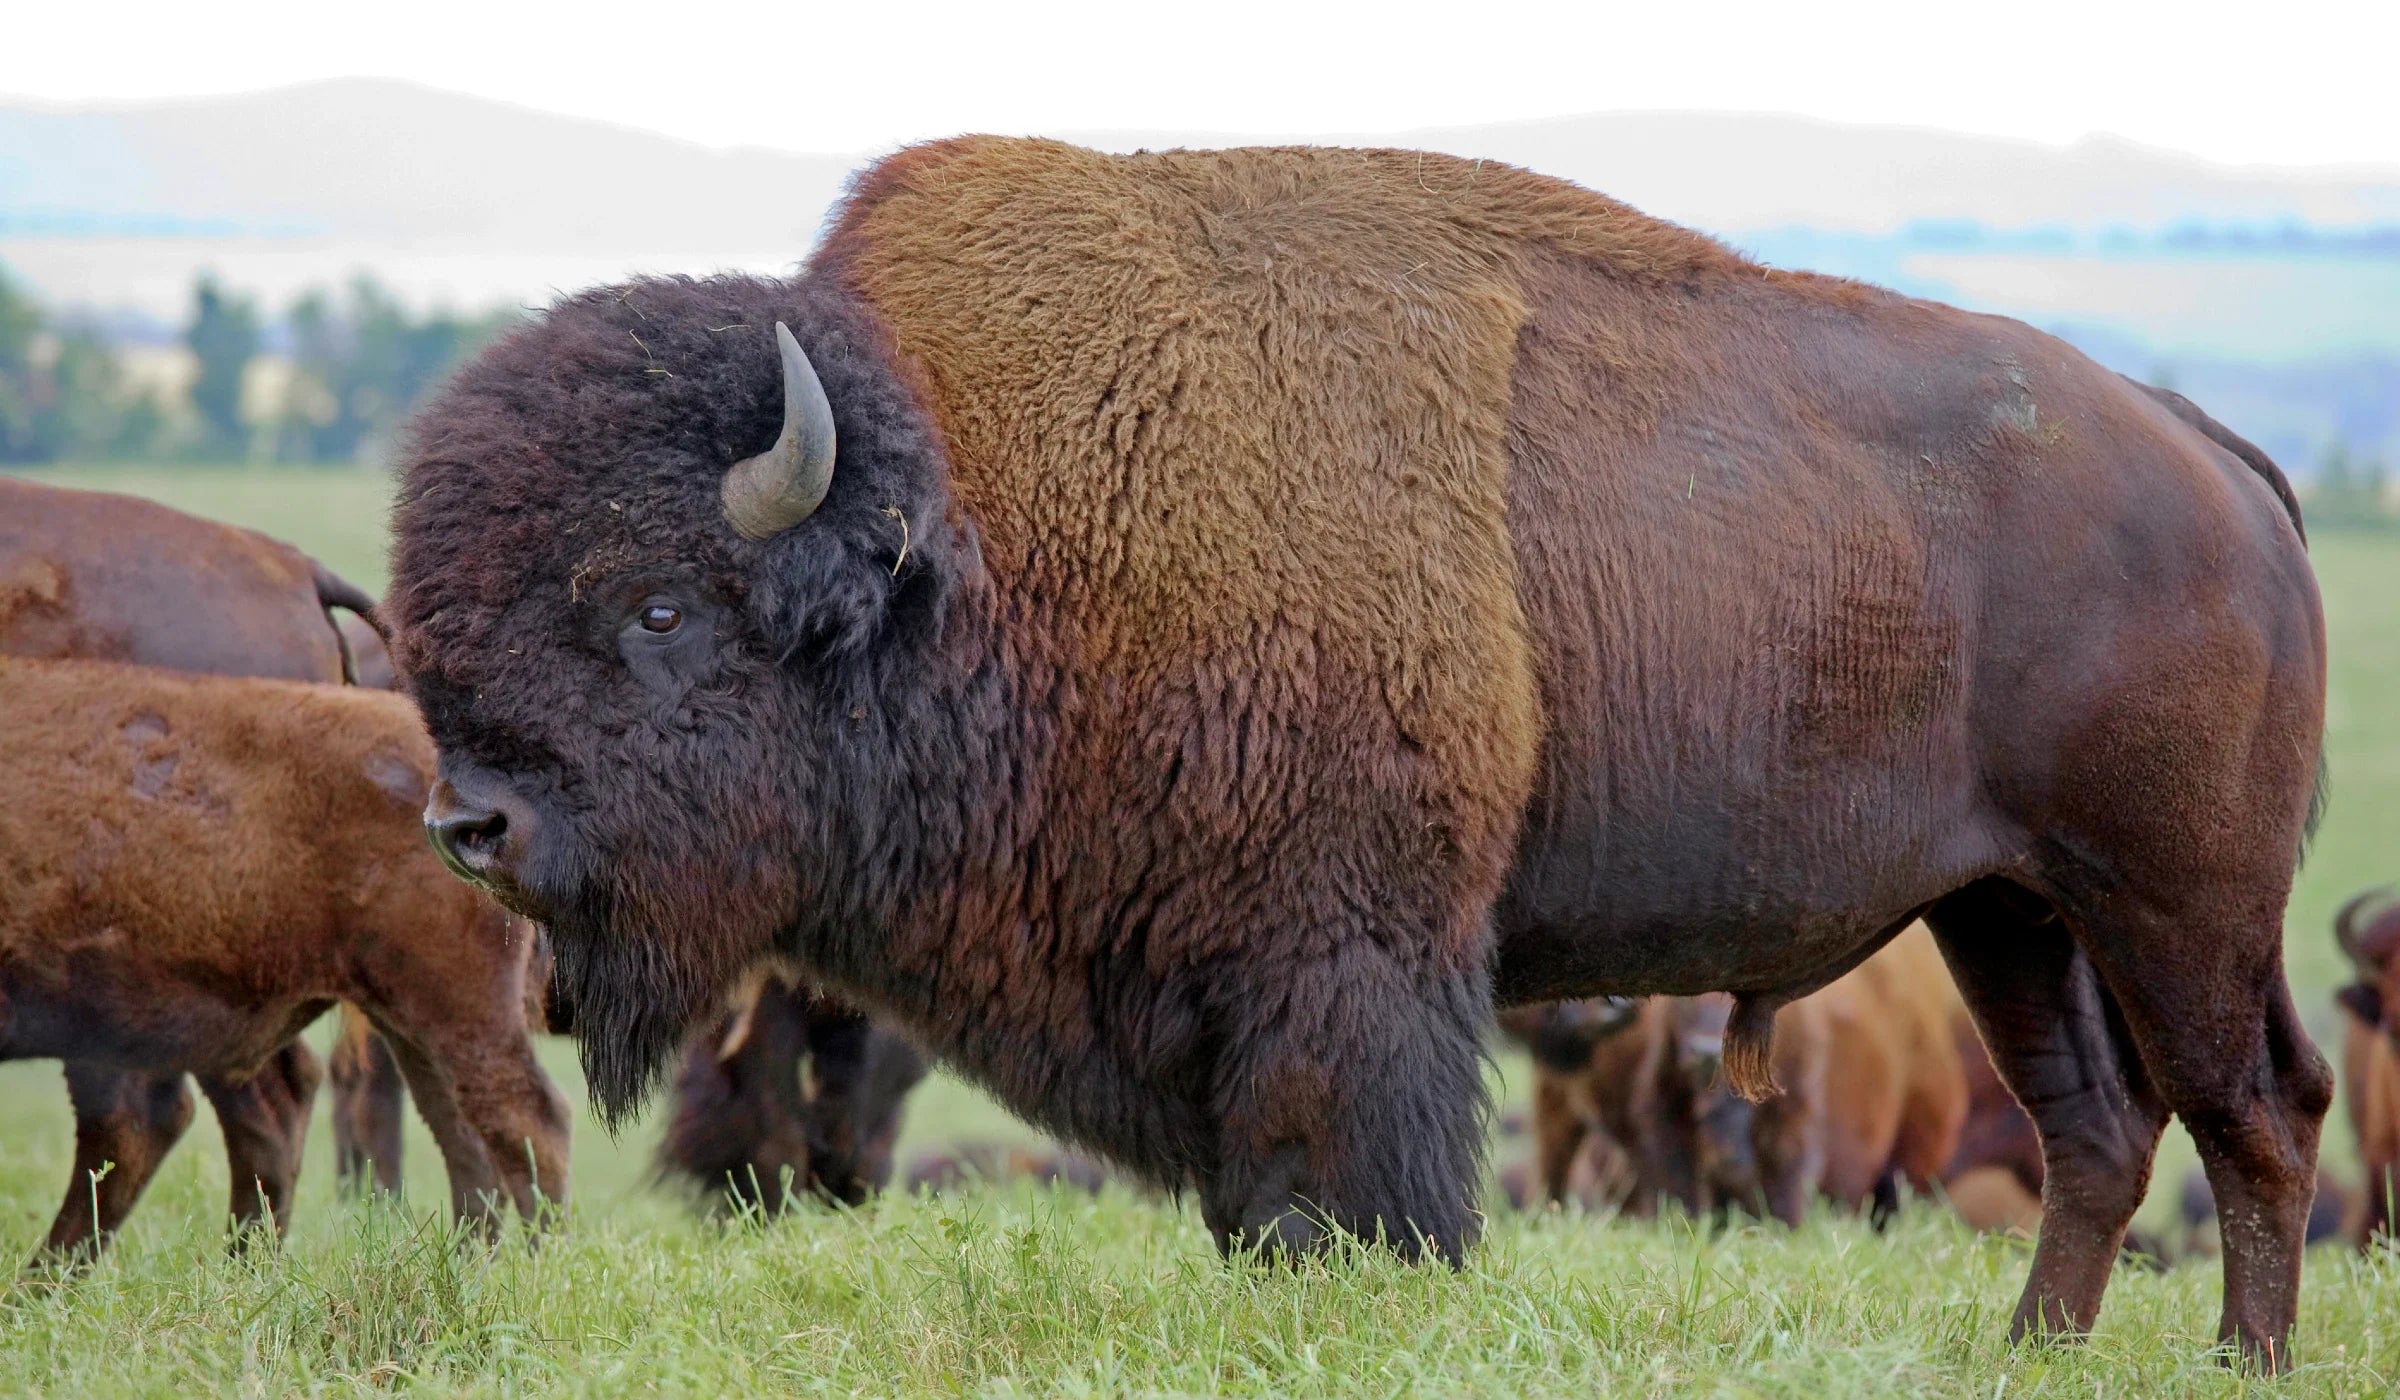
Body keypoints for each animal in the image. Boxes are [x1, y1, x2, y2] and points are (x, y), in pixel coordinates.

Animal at [389, 138, 2331, 1365]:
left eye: (656, 606)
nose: (469, 823)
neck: (988, 529)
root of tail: (2214, 455)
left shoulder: (1349, 965)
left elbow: (1350, 1183)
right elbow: (1262, 1192)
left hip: (2174, 908)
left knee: (2253, 1113)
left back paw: (2236, 1363)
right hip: (2010, 913)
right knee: (2101, 1133)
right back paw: (2030, 1356)